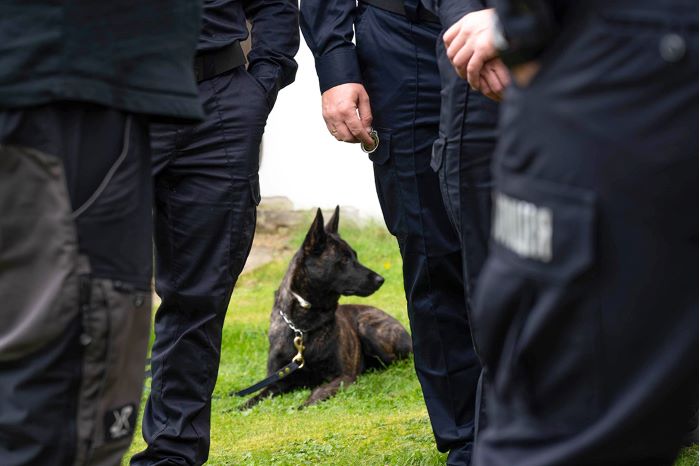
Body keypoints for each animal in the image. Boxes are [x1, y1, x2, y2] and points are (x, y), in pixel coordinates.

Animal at [241, 208, 412, 408]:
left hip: (368, 328)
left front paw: (304, 405)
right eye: (344, 259)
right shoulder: (278, 380)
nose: (380, 279)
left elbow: (318, 391)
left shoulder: (342, 377)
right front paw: (237, 408)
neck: (303, 325)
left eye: (355, 256)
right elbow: (256, 397)